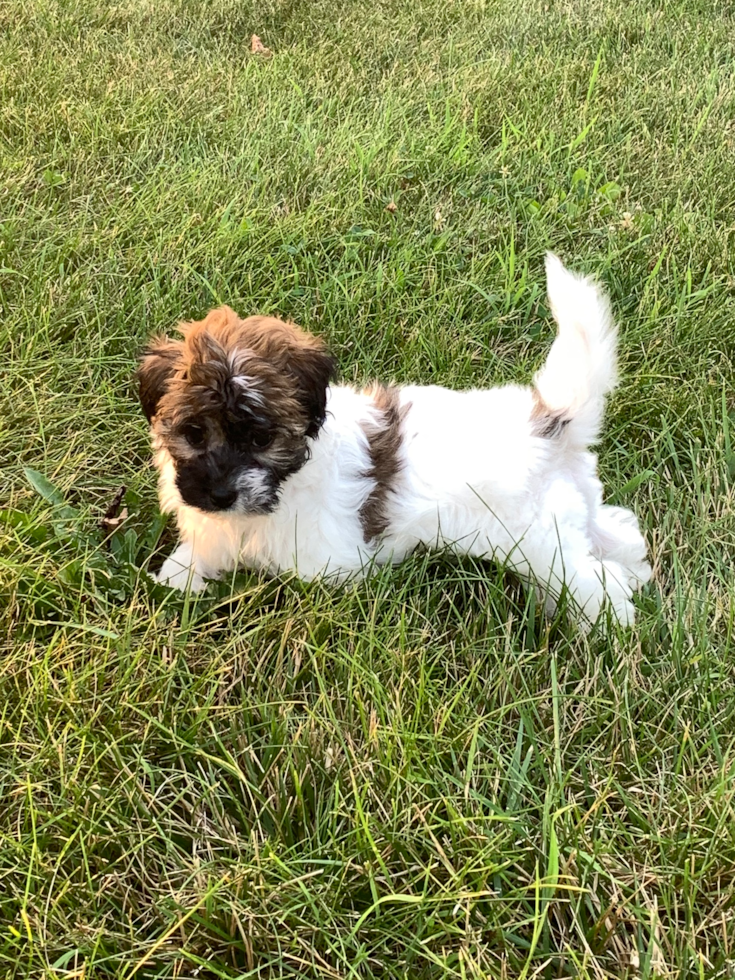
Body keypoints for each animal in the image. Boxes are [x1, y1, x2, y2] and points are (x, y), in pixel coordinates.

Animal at [138, 258, 648, 628]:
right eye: (194, 433)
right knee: (614, 531)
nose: (221, 494)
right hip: (569, 511)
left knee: (589, 580)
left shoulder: (331, 563)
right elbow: (202, 552)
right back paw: (632, 566)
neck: (287, 481)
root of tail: (549, 421)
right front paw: (175, 580)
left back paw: (608, 623)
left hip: (542, 541)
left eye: (261, 438)